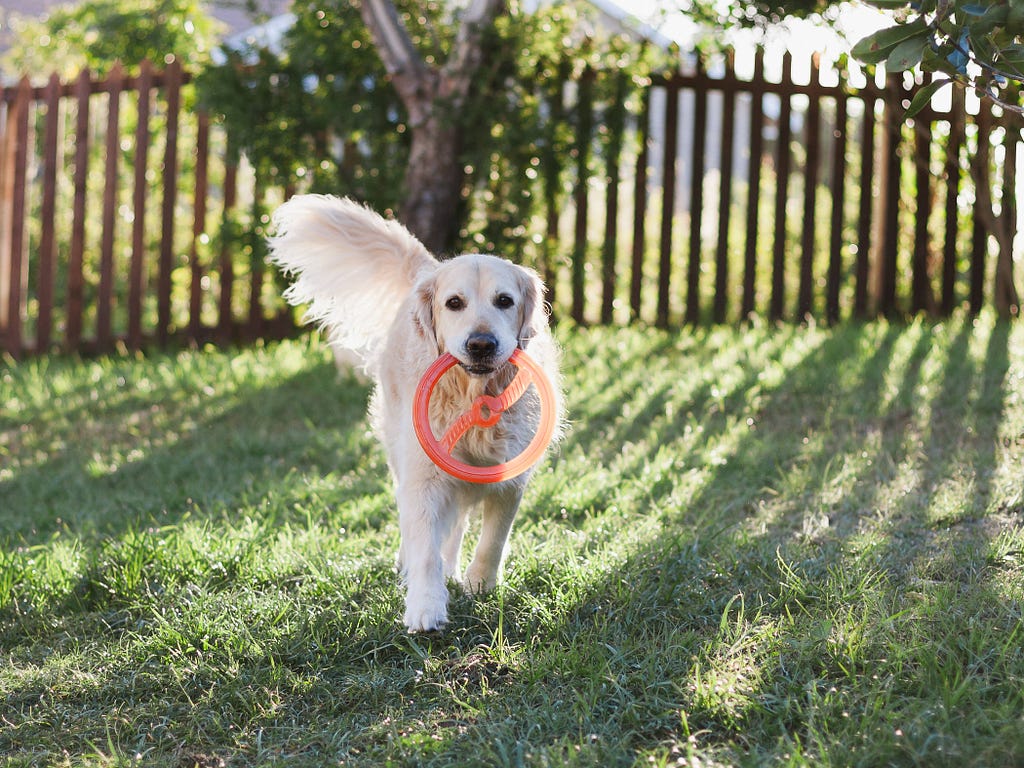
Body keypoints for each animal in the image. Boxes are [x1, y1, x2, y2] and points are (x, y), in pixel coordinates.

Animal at [268, 195, 565, 634]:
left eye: (504, 301)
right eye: (454, 303)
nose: (481, 344)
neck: (472, 398)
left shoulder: (510, 480)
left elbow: (493, 540)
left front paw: (480, 584)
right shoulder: (423, 477)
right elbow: (425, 546)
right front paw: (425, 606)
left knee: (457, 526)